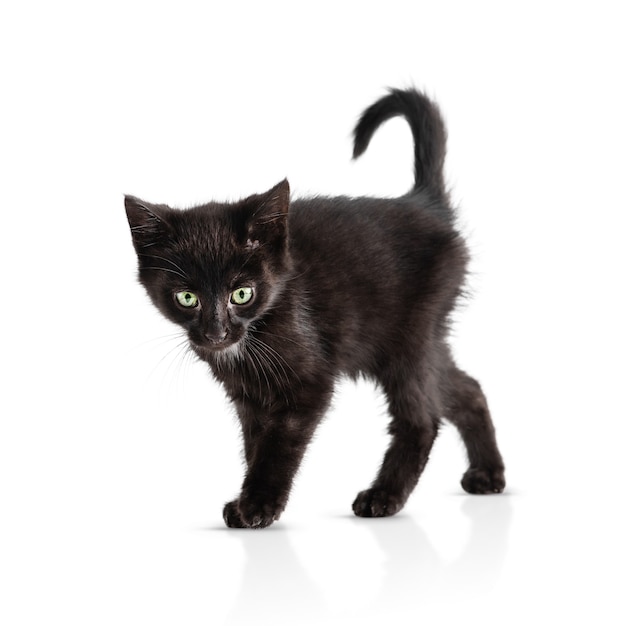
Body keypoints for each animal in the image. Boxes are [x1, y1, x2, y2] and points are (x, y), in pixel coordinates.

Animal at [124, 88, 504, 528]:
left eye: (242, 293)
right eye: (187, 298)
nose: (216, 333)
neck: (258, 329)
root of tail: (424, 203)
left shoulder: (308, 383)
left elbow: (276, 447)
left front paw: (258, 505)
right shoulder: (248, 394)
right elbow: (255, 443)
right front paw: (247, 502)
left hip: (409, 338)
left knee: (422, 416)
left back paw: (383, 496)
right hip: (416, 339)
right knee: (466, 388)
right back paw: (488, 473)